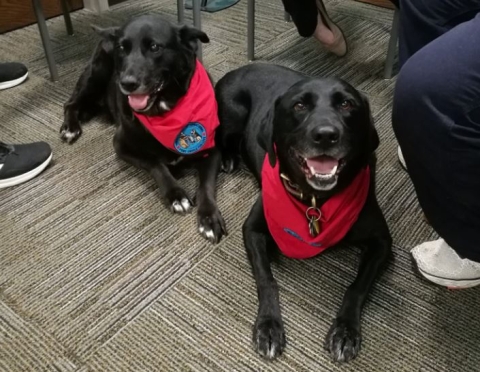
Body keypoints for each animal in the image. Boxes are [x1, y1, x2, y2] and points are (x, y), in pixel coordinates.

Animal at [61, 14, 227, 243]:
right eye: (122, 48)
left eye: (155, 47)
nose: (126, 83)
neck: (165, 109)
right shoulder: (121, 145)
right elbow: (156, 164)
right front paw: (176, 195)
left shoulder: (212, 148)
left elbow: (207, 185)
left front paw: (209, 217)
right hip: (96, 74)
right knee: (71, 103)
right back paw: (70, 127)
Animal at [216, 64, 392, 364]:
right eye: (299, 106)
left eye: (347, 104)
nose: (325, 134)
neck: (316, 199)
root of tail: (239, 68)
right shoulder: (253, 229)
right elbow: (267, 280)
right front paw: (268, 326)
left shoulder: (382, 242)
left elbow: (357, 286)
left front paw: (345, 331)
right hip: (232, 117)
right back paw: (227, 158)